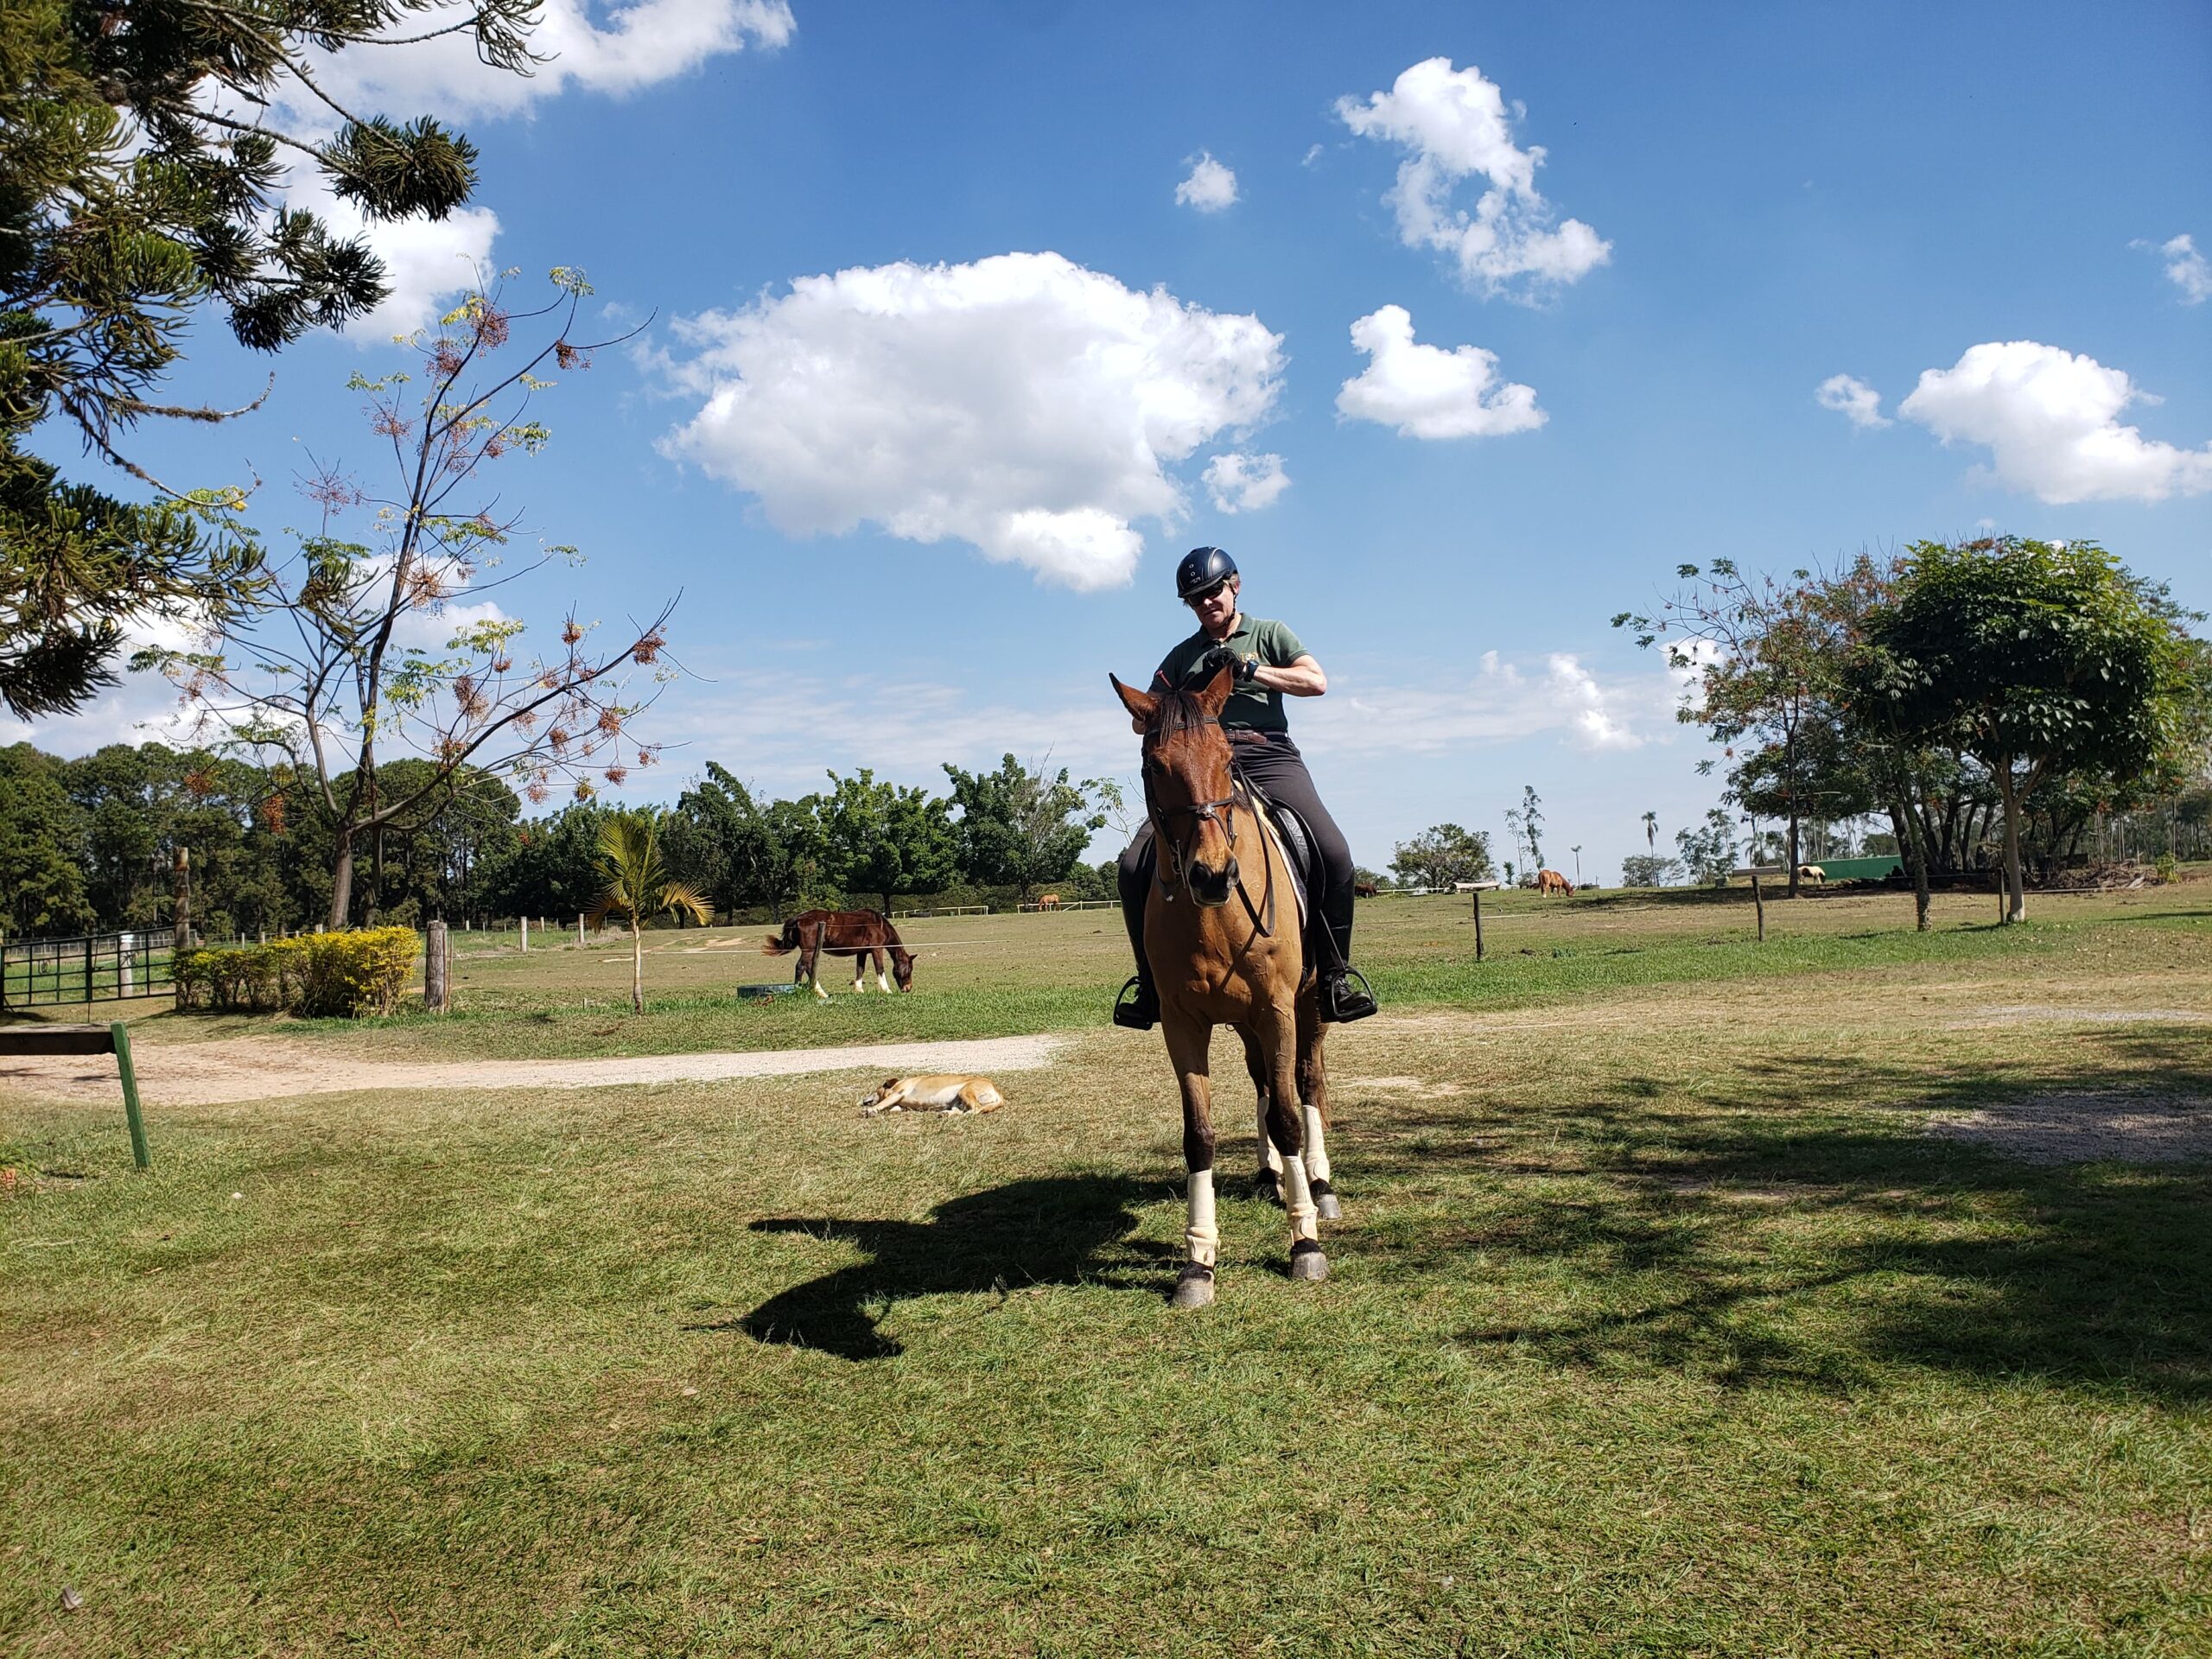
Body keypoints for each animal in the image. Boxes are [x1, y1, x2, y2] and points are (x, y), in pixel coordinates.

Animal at [769, 911, 915, 1000]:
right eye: (909, 969)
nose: (908, 988)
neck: (878, 925)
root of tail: (799, 918)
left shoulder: (862, 952)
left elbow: (860, 970)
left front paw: (859, 990)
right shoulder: (876, 950)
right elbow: (880, 969)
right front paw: (886, 990)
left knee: (809, 968)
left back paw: (822, 993)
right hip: (808, 950)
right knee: (800, 966)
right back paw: (798, 991)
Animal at [858, 1079, 1008, 1119]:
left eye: (875, 1090)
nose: (863, 1099)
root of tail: (997, 1091)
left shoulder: (898, 1093)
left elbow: (881, 1104)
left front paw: (870, 1111)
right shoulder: (899, 1105)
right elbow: (892, 1108)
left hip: (965, 1091)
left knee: (977, 1108)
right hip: (959, 1101)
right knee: (960, 1110)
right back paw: (946, 1114)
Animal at [1106, 664, 1327, 1309]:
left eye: (1228, 758)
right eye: (1155, 765)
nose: (1212, 874)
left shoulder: (1279, 1009)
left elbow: (1288, 1116)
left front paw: (1305, 1242)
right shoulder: (1184, 1024)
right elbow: (1199, 1135)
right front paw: (1198, 1261)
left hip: (1310, 1007)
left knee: (1306, 1082)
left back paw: (1320, 1183)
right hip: (1247, 1024)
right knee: (1264, 1083)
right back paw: (1271, 1175)